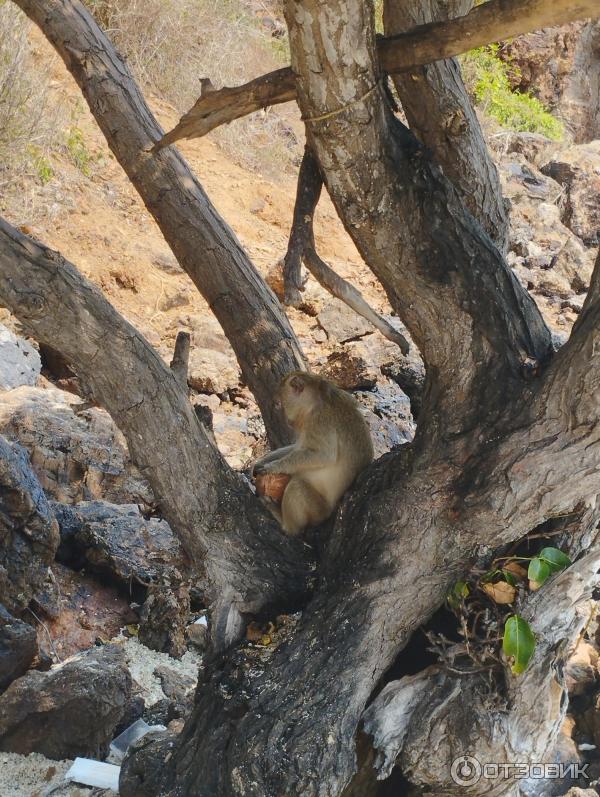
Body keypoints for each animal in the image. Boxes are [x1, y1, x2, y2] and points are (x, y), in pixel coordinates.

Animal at [251, 372, 372, 536]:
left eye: (279, 404)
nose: (287, 420)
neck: (318, 398)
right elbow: (297, 447)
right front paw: (261, 462)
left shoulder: (319, 421)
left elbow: (324, 455)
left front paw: (273, 467)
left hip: (319, 511)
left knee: (297, 486)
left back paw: (285, 523)